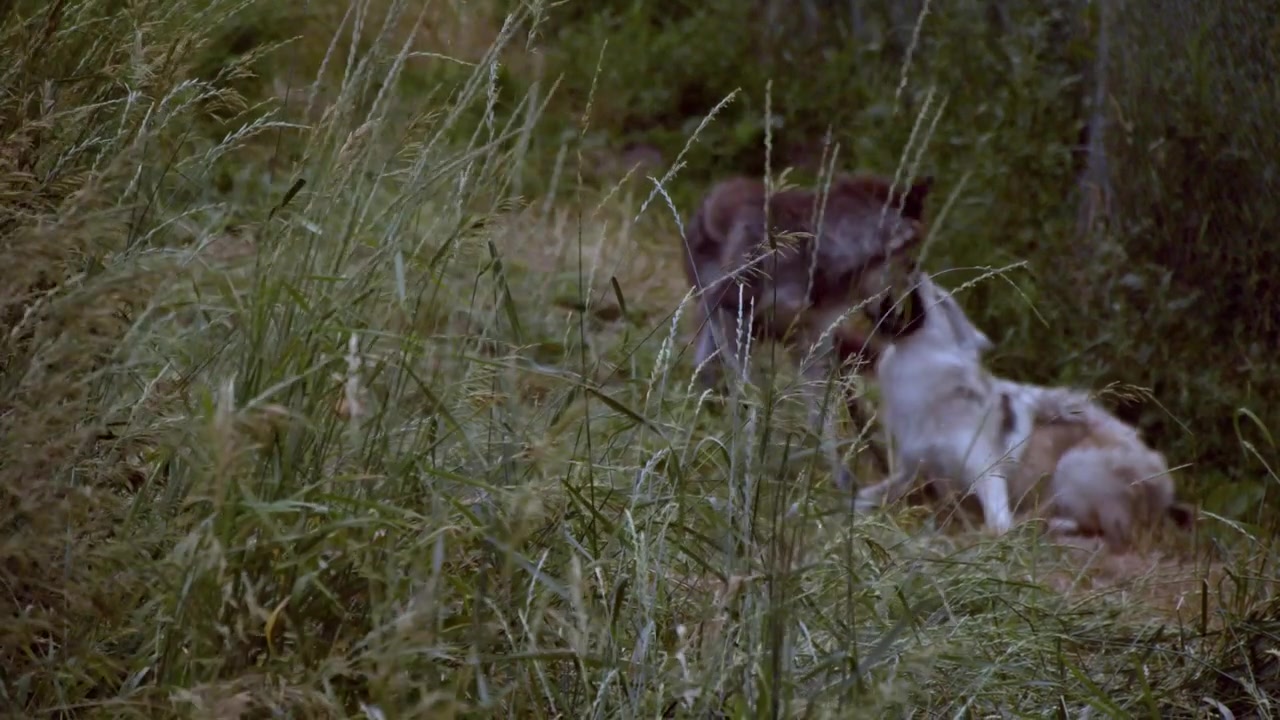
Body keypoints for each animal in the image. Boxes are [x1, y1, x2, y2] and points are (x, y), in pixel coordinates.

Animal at [681, 172, 934, 490]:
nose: (921, 320)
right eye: (911, 265)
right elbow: (750, 398)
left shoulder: (809, 345)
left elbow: (824, 424)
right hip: (722, 326)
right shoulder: (732, 313)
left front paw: (845, 485)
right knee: (708, 376)